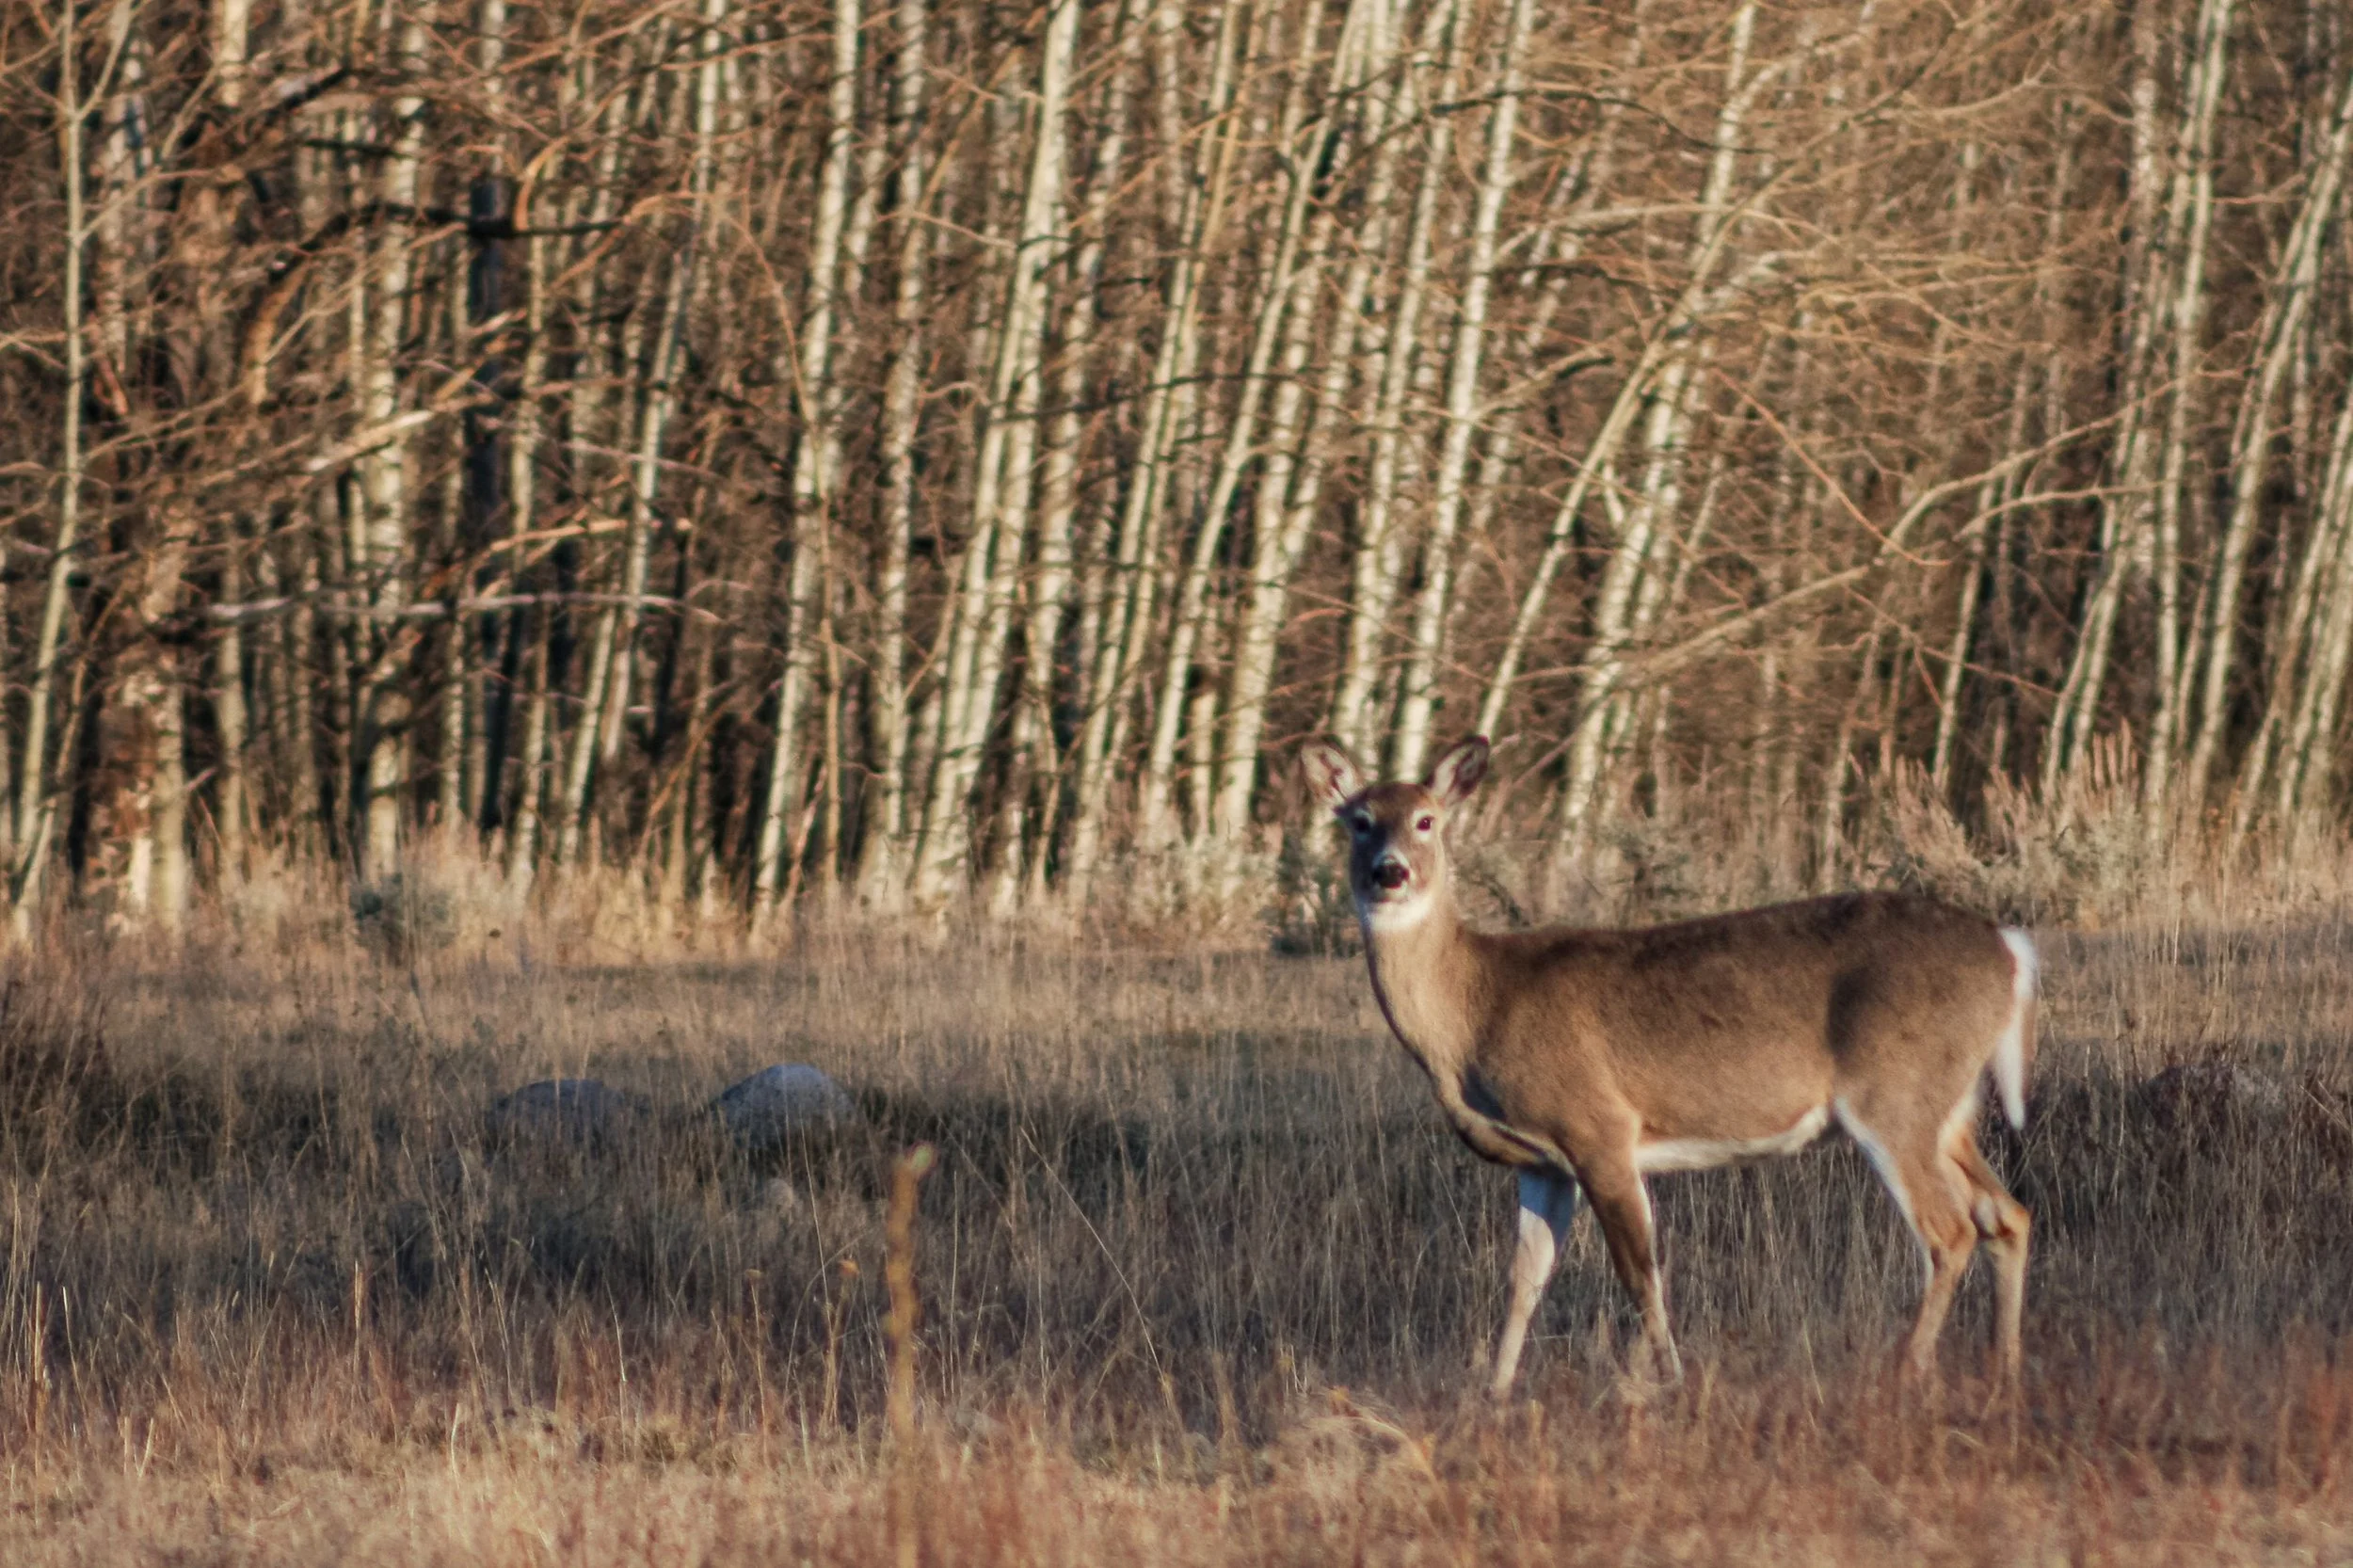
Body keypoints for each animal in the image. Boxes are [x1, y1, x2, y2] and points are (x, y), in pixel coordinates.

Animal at [1301, 735, 2036, 1396]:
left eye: (1427, 819)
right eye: (1359, 821)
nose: (1390, 872)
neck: (1476, 1009)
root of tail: (2010, 951)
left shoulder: (1598, 1126)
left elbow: (1639, 1272)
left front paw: (1672, 1382)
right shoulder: (1542, 1162)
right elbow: (1525, 1279)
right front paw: (1495, 1395)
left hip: (1894, 1094)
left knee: (1950, 1231)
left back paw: (1908, 1370)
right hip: (1950, 1108)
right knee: (2007, 1214)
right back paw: (2002, 1370)